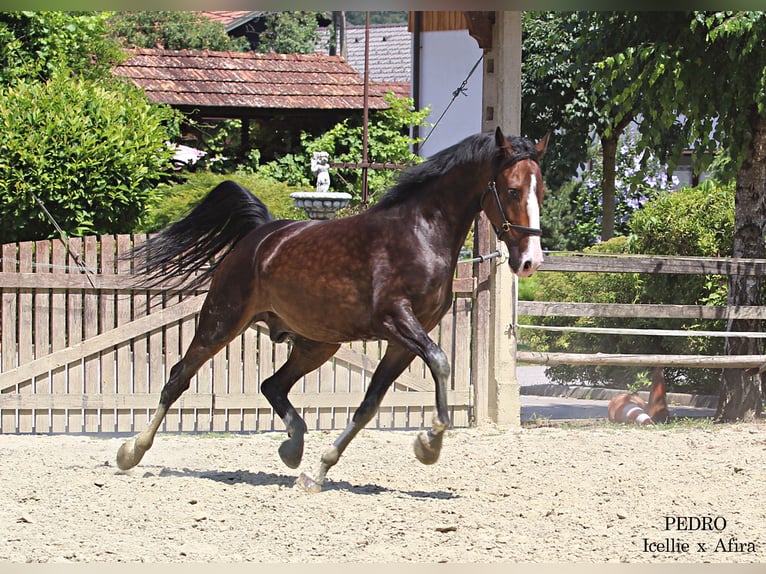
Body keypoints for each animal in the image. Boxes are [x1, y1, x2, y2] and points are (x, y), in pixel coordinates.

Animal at [115, 127, 544, 496]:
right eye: (512, 189)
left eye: (540, 189)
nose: (530, 262)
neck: (420, 235)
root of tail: (262, 235)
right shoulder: (396, 321)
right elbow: (440, 362)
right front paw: (429, 443)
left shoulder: (403, 342)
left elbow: (369, 405)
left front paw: (317, 472)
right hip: (222, 320)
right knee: (178, 378)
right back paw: (131, 452)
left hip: (318, 343)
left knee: (272, 385)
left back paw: (293, 449)